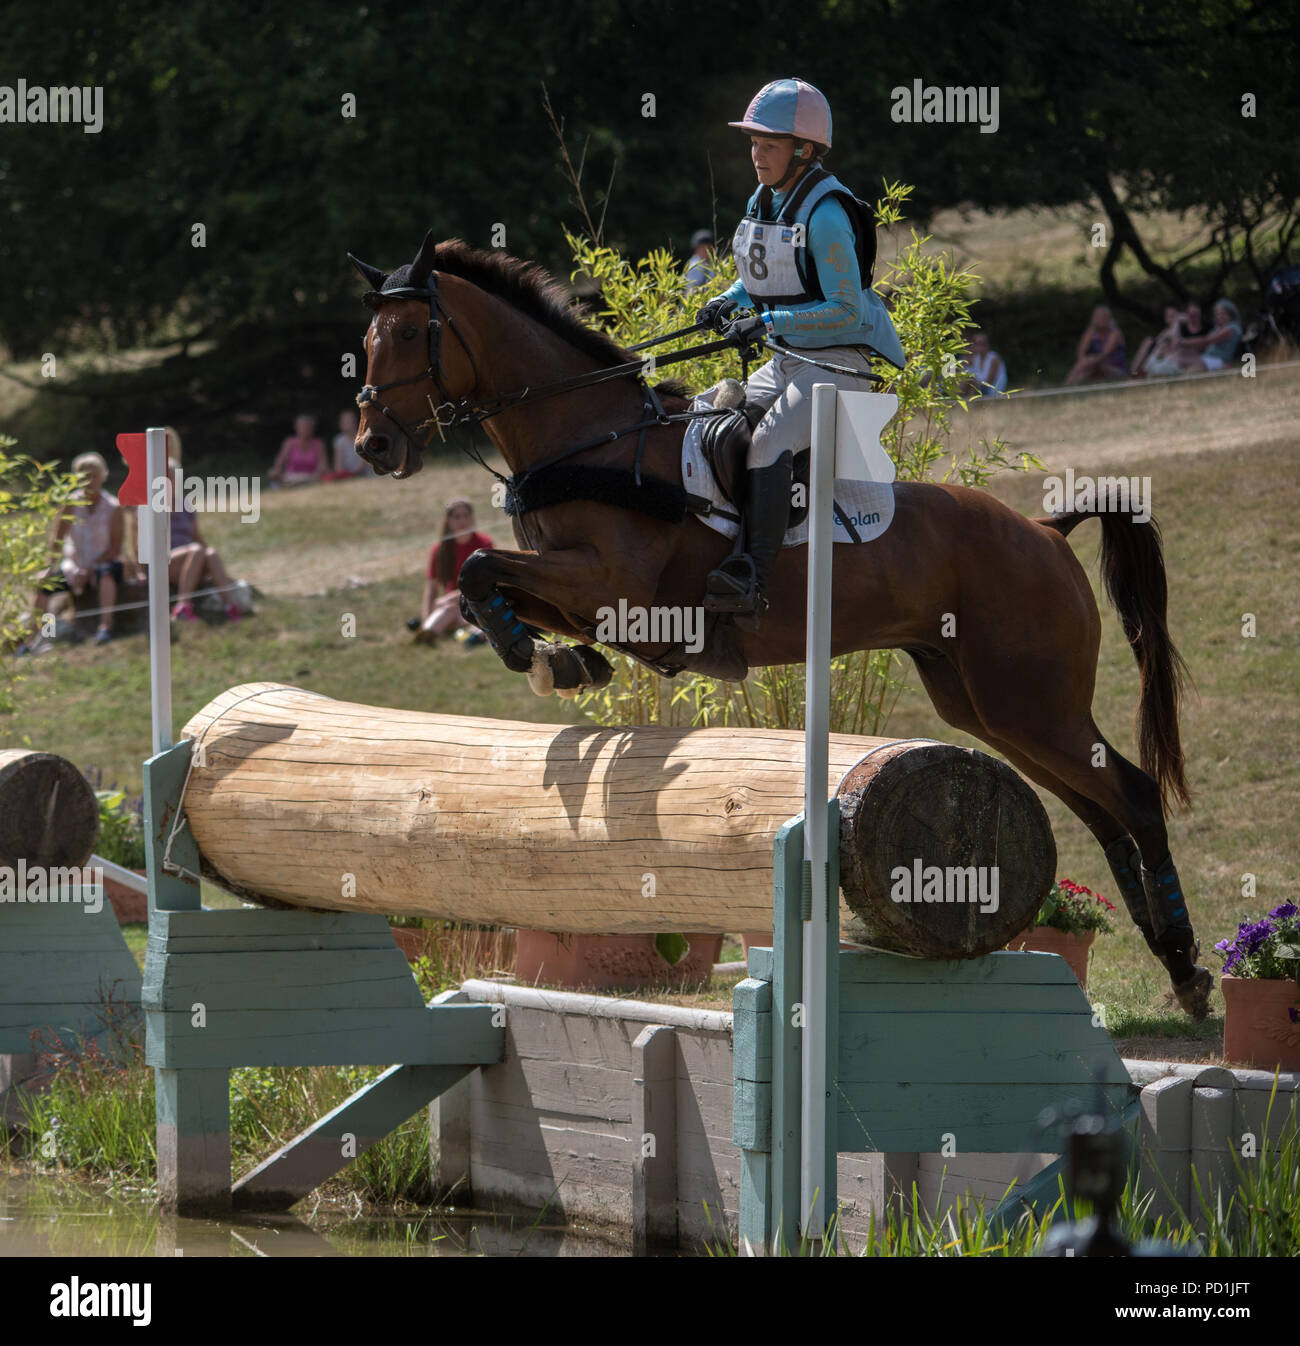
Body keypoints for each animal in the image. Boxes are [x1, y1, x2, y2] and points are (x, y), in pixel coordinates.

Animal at [349, 231, 1216, 1012]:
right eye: (365, 342)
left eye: (407, 335)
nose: (373, 445)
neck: (590, 437)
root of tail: (1043, 530)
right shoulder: (574, 590)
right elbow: (484, 583)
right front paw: (557, 660)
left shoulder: (612, 586)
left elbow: (477, 569)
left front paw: (545, 660)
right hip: (986, 706)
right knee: (1099, 812)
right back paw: (1170, 956)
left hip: (1031, 701)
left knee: (1134, 796)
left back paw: (1187, 968)